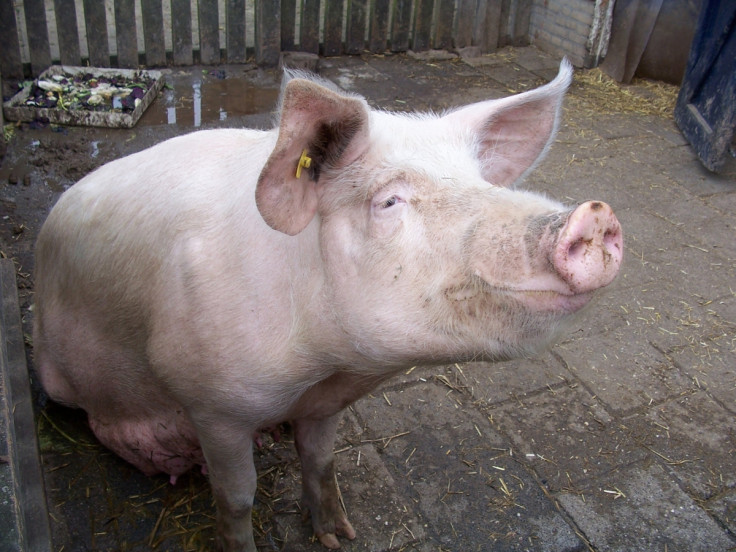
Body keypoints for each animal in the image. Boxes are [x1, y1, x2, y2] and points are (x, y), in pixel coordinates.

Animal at [34, 59, 620, 548]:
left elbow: (320, 461)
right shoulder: (212, 403)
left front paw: (341, 536)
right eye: (388, 200)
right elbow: (237, 497)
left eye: (480, 180)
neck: (321, 366)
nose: (595, 215)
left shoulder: (323, 403)